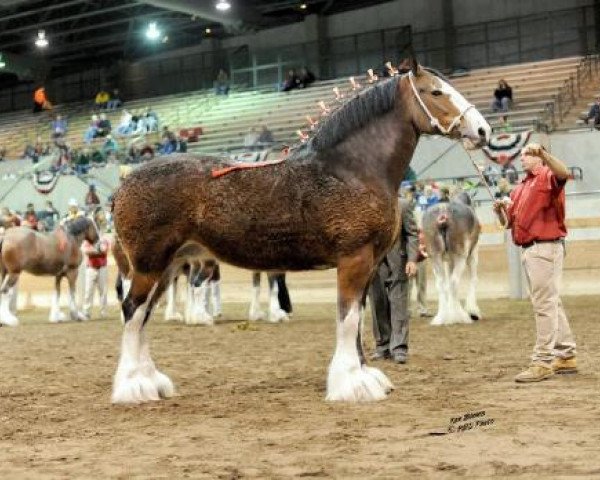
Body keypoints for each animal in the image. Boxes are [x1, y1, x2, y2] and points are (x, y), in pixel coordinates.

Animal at [422, 192, 482, 326]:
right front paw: (473, 312)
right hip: (461, 257)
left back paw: (441, 318)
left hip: (435, 257)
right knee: (454, 282)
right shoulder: (473, 254)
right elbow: (474, 279)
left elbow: (447, 280)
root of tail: (443, 212)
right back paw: (462, 317)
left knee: (441, 284)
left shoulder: (448, 260)